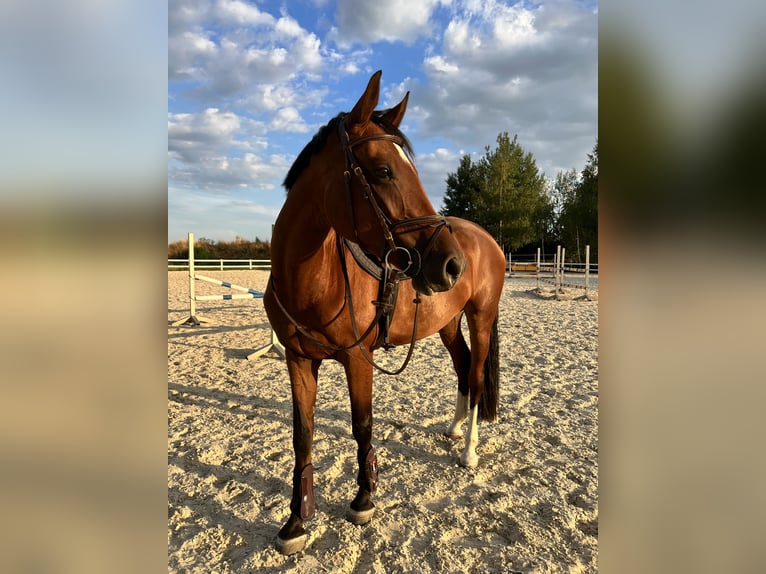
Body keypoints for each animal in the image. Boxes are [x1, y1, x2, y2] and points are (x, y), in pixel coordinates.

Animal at [263, 70, 505, 555]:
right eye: (384, 170)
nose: (452, 265)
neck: (312, 279)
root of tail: (484, 239)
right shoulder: (298, 361)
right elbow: (302, 436)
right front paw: (296, 521)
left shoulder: (358, 359)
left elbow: (362, 426)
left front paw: (364, 499)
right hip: (448, 324)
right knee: (462, 365)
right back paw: (453, 429)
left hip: (481, 318)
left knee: (475, 374)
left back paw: (468, 450)